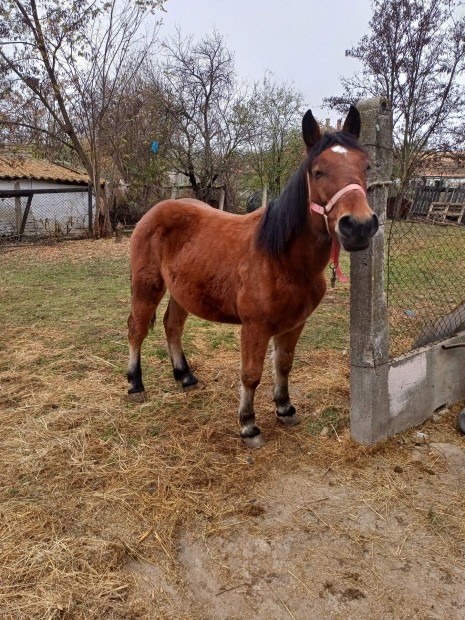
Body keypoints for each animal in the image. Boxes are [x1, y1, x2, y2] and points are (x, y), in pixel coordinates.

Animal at [127, 105, 376, 446]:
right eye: (318, 171)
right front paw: (248, 425)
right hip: (146, 287)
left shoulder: (294, 324)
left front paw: (285, 408)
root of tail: (154, 211)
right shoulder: (254, 327)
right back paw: (135, 385)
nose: (360, 226)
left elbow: (283, 365)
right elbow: (251, 374)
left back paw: (186, 376)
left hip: (181, 293)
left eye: (366, 166)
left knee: (172, 326)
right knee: (136, 329)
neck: (282, 259)